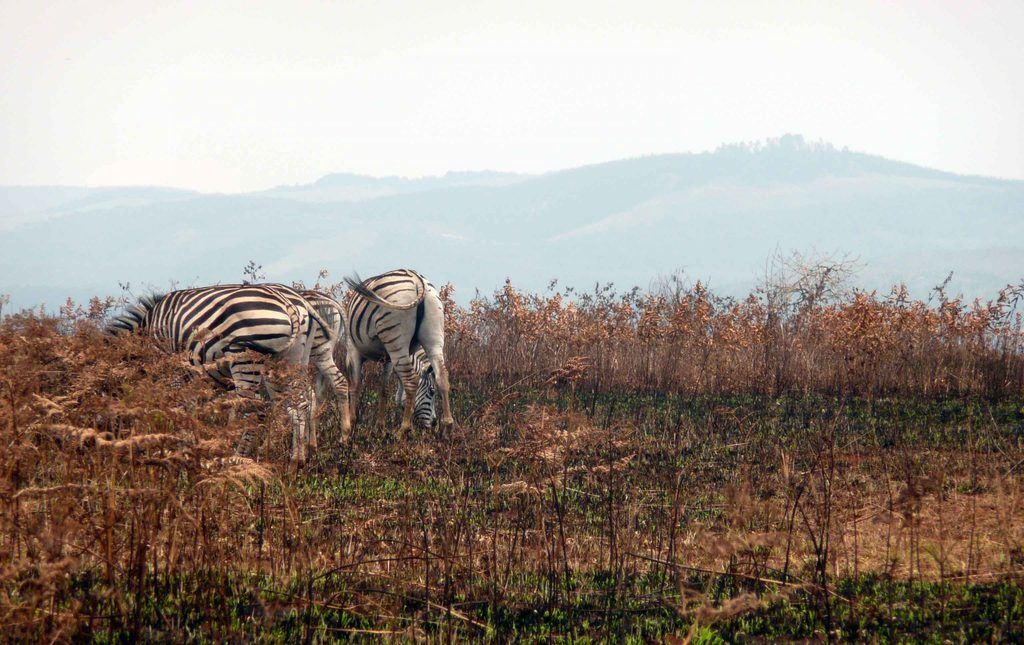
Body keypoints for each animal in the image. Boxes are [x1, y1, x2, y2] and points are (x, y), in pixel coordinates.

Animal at [105, 284, 350, 464]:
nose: (113, 453)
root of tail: (293, 303)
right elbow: (193, 411)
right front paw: (192, 447)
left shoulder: (174, 371)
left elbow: (180, 411)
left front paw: (179, 452)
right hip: (293, 357)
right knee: (302, 400)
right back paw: (298, 458)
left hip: (247, 356)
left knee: (256, 409)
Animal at [346, 270, 454, 432]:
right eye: (431, 392)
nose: (434, 423)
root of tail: (417, 279)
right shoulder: (388, 359)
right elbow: (385, 389)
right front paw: (380, 426)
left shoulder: (354, 351)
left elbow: (355, 385)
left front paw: (350, 425)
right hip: (433, 338)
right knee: (442, 375)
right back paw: (448, 425)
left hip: (396, 339)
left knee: (410, 381)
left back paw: (404, 429)